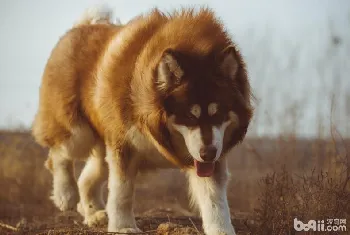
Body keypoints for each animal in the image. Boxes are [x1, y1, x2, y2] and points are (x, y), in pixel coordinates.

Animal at [31, 5, 253, 235]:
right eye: (190, 115)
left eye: (218, 113)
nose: (208, 153)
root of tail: (82, 26)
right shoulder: (123, 145)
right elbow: (122, 192)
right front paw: (122, 226)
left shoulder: (212, 153)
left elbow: (214, 200)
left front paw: (221, 229)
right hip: (78, 133)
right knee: (58, 155)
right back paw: (65, 194)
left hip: (102, 149)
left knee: (87, 178)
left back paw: (94, 214)